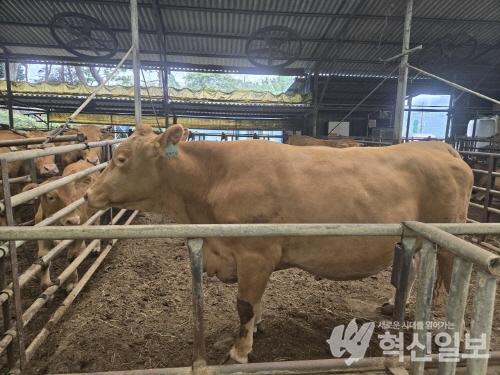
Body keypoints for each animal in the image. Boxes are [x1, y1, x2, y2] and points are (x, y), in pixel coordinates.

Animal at [86, 124, 472, 364]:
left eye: (121, 159)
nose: (89, 194)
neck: (213, 179)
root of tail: (441, 146)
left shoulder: (255, 253)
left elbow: (244, 305)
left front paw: (240, 351)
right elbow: (254, 303)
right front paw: (255, 329)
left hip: (450, 239)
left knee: (451, 281)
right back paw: (395, 307)